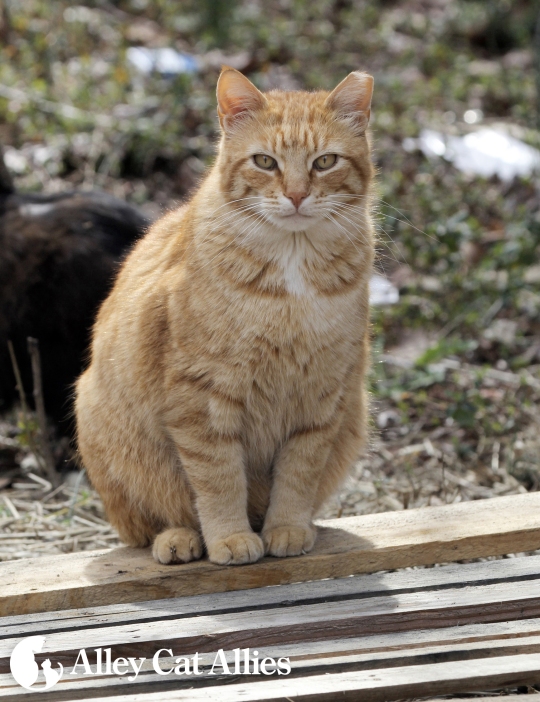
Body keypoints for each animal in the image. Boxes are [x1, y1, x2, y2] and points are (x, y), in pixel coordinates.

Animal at [74, 67, 374, 568]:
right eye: (265, 162)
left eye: (325, 161)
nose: (296, 195)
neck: (292, 276)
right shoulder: (203, 397)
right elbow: (218, 480)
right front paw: (231, 537)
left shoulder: (322, 396)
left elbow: (298, 474)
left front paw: (287, 528)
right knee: (149, 523)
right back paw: (179, 540)